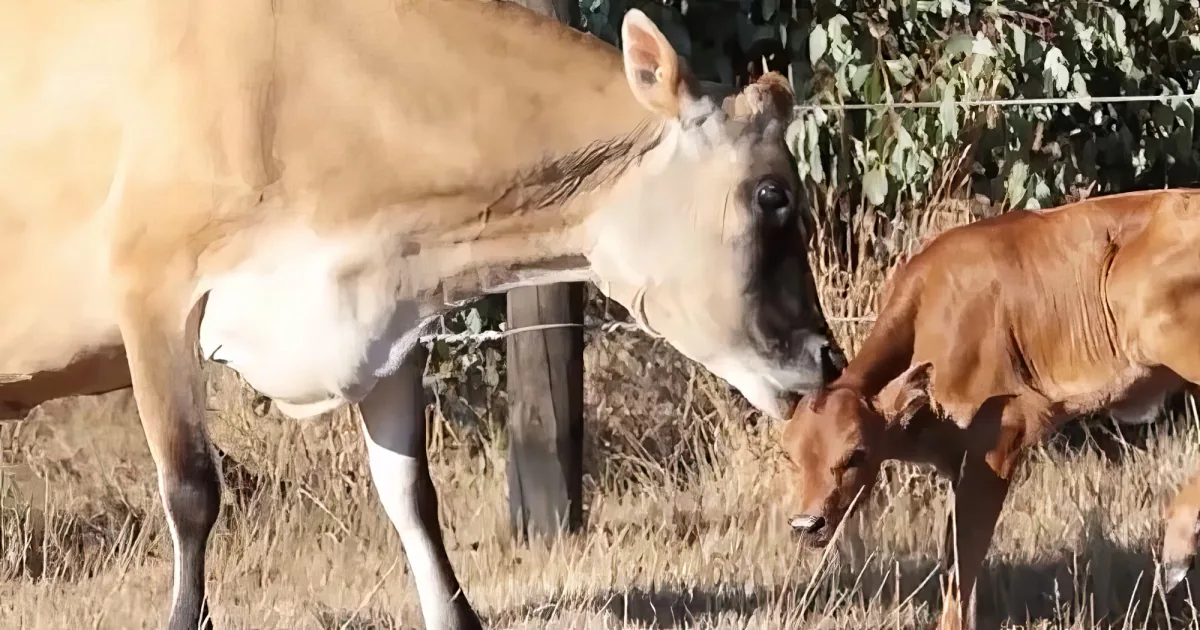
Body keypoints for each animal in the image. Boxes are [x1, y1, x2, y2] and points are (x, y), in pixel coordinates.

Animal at [0, 1, 847, 629]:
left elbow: (411, 493)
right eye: (772, 195)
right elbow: (191, 491)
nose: (826, 357)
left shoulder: (387, 320)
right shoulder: (152, 289)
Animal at [778, 188, 1200, 630]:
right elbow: (957, 558)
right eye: (791, 456)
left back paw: (1176, 552)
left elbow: (965, 555)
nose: (806, 524)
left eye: (857, 453)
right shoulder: (957, 460)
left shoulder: (997, 442)